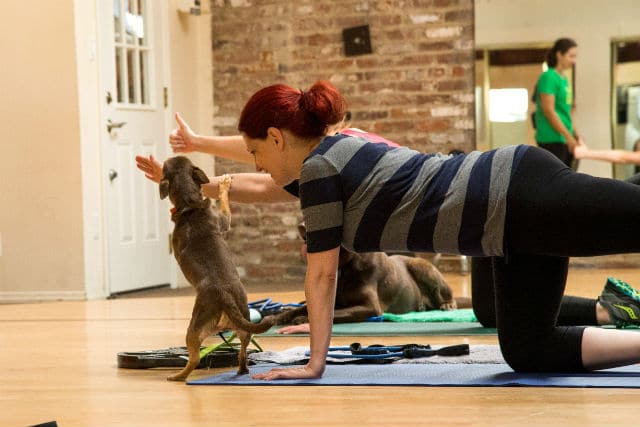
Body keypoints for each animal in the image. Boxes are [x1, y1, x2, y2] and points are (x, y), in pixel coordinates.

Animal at [160, 156, 276, 382]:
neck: (190, 203)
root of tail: (224, 295)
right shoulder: (222, 219)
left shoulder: (225, 219)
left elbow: (223, 200)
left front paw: (223, 185)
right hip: (242, 323)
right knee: (243, 348)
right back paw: (242, 370)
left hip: (194, 328)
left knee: (195, 359)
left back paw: (178, 376)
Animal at [276, 226, 470, 330]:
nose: (306, 251)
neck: (344, 267)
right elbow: (301, 308)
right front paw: (281, 316)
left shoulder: (370, 307)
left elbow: (334, 314)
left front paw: (302, 320)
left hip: (423, 267)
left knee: (445, 295)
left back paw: (447, 305)